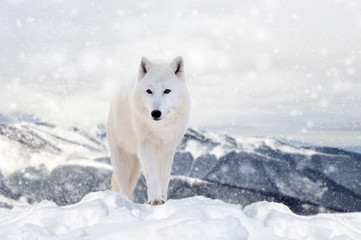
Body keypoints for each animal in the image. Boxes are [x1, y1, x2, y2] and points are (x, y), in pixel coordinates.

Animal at [107, 55, 191, 204]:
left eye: (167, 91)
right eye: (149, 91)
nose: (155, 113)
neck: (160, 129)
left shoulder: (168, 150)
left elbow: (164, 178)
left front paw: (163, 198)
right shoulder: (146, 145)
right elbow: (152, 175)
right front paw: (155, 199)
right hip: (122, 163)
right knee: (123, 188)